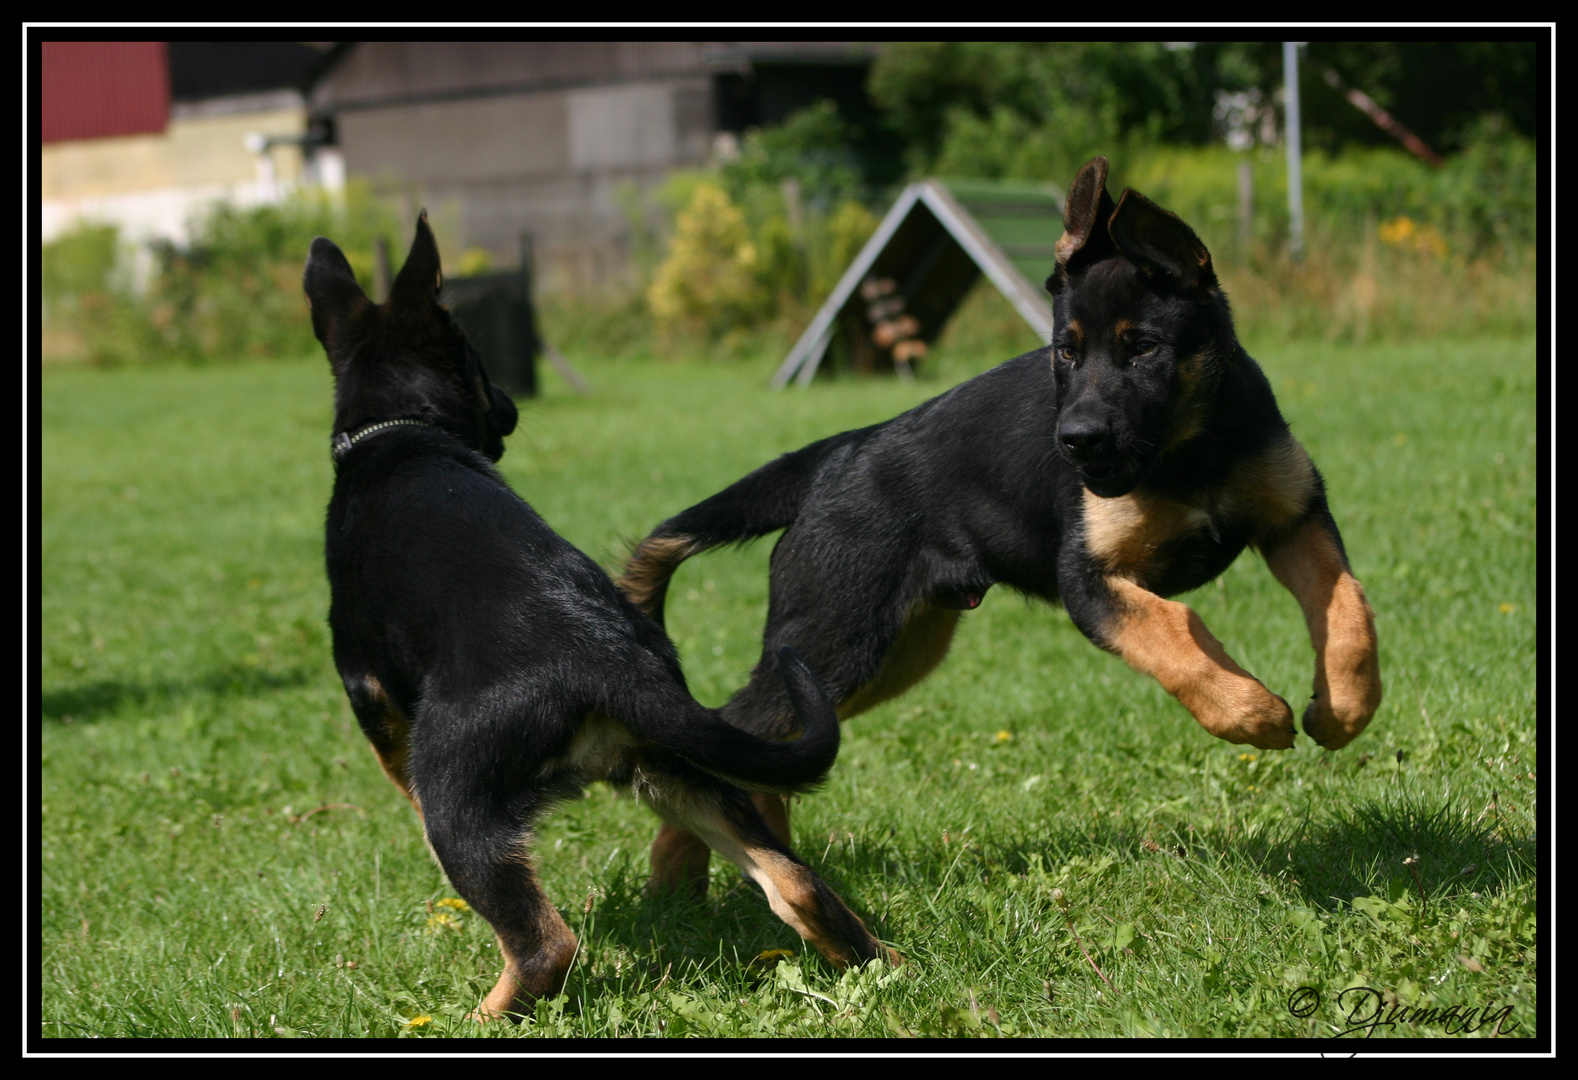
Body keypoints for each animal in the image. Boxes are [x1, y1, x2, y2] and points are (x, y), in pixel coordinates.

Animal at [309, 211, 902, 1023]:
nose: (510, 408)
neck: (394, 433)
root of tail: (604, 657)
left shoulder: (365, 685)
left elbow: (391, 765)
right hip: (679, 769)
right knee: (798, 883)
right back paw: (884, 964)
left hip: (466, 803)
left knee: (544, 943)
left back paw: (480, 1017)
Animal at [618, 153, 1382, 896]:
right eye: (1066, 351)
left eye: (1143, 348)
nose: (1074, 442)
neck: (1193, 450)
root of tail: (837, 454)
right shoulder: (1088, 581)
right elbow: (1175, 631)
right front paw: (1251, 712)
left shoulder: (1296, 519)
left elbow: (1347, 610)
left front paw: (1342, 709)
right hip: (832, 640)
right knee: (725, 739)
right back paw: (677, 878)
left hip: (890, 654)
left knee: (765, 752)